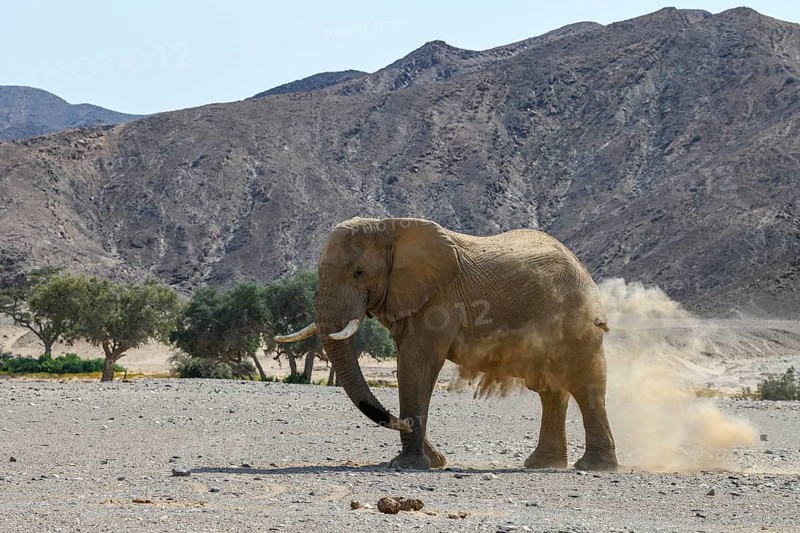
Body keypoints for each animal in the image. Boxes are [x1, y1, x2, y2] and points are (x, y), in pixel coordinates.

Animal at [276, 217, 618, 471]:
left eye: (359, 272)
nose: (401, 424)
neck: (390, 227)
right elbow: (413, 366)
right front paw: (434, 461)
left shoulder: (439, 301)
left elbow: (415, 364)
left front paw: (407, 464)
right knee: (552, 391)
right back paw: (542, 465)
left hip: (577, 325)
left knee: (585, 386)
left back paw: (594, 467)